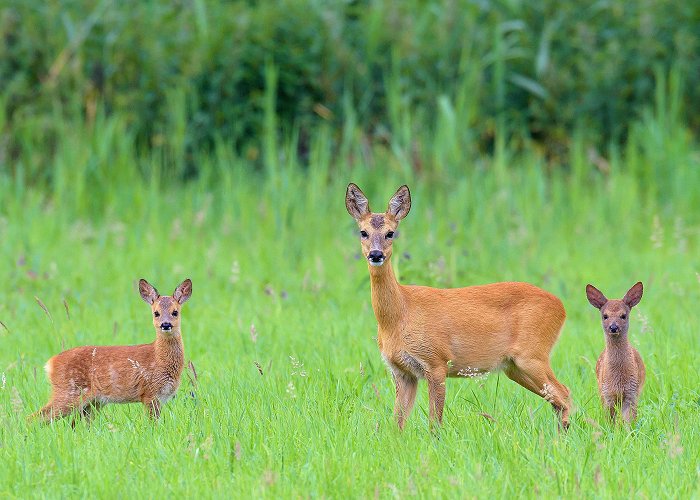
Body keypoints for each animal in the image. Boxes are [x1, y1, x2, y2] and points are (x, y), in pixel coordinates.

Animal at [32, 280, 191, 424]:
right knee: (34, 418)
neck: (158, 357)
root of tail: (50, 363)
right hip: (69, 392)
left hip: (93, 401)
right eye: (156, 313)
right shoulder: (149, 393)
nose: (165, 324)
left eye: (175, 312)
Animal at [348, 184, 572, 430]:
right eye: (363, 232)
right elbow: (397, 423)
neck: (400, 315)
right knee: (558, 398)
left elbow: (435, 423)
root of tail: (561, 306)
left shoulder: (436, 360)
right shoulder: (403, 372)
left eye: (391, 233)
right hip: (514, 367)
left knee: (564, 393)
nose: (376, 254)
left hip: (532, 354)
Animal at [584, 282, 644, 422]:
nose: (613, 327)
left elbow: (629, 421)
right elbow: (609, 421)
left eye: (623, 315)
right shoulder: (607, 395)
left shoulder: (631, 394)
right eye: (605, 316)